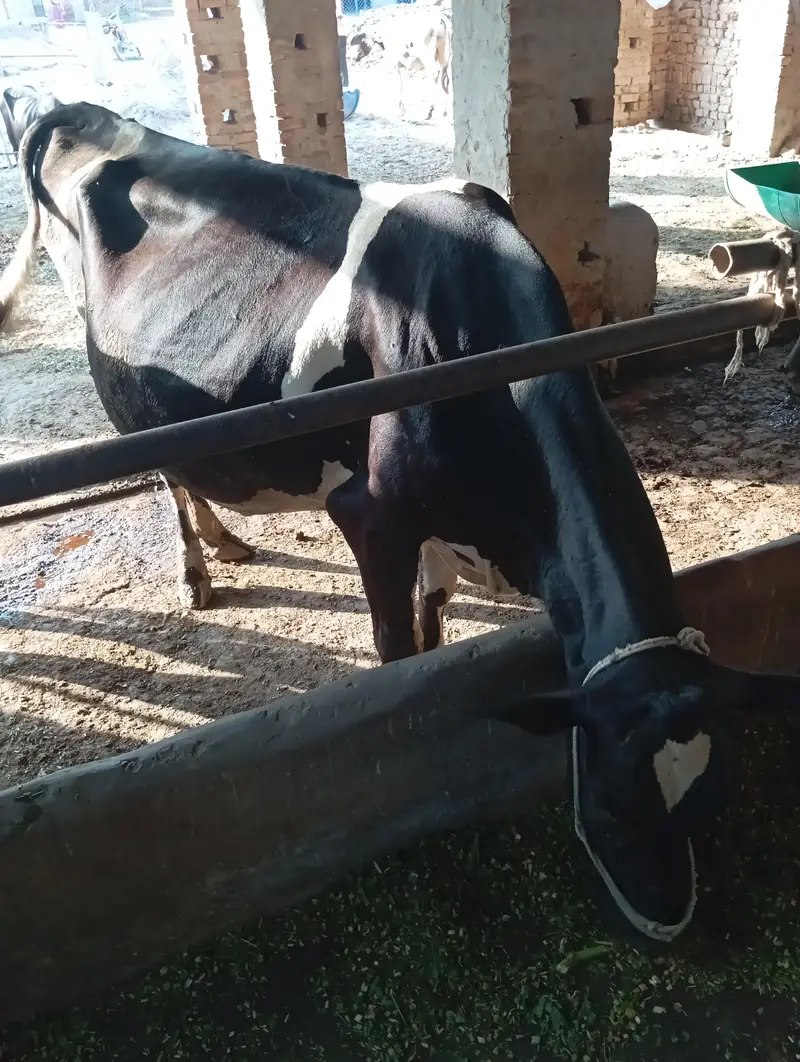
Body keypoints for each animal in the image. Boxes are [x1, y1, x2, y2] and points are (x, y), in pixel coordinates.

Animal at [1, 102, 799, 943]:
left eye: (714, 799)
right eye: (612, 806)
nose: (669, 927)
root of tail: (78, 110)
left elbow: (434, 613)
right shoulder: (372, 515)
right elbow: (395, 653)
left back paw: (225, 540)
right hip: (120, 372)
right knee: (164, 469)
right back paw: (196, 568)